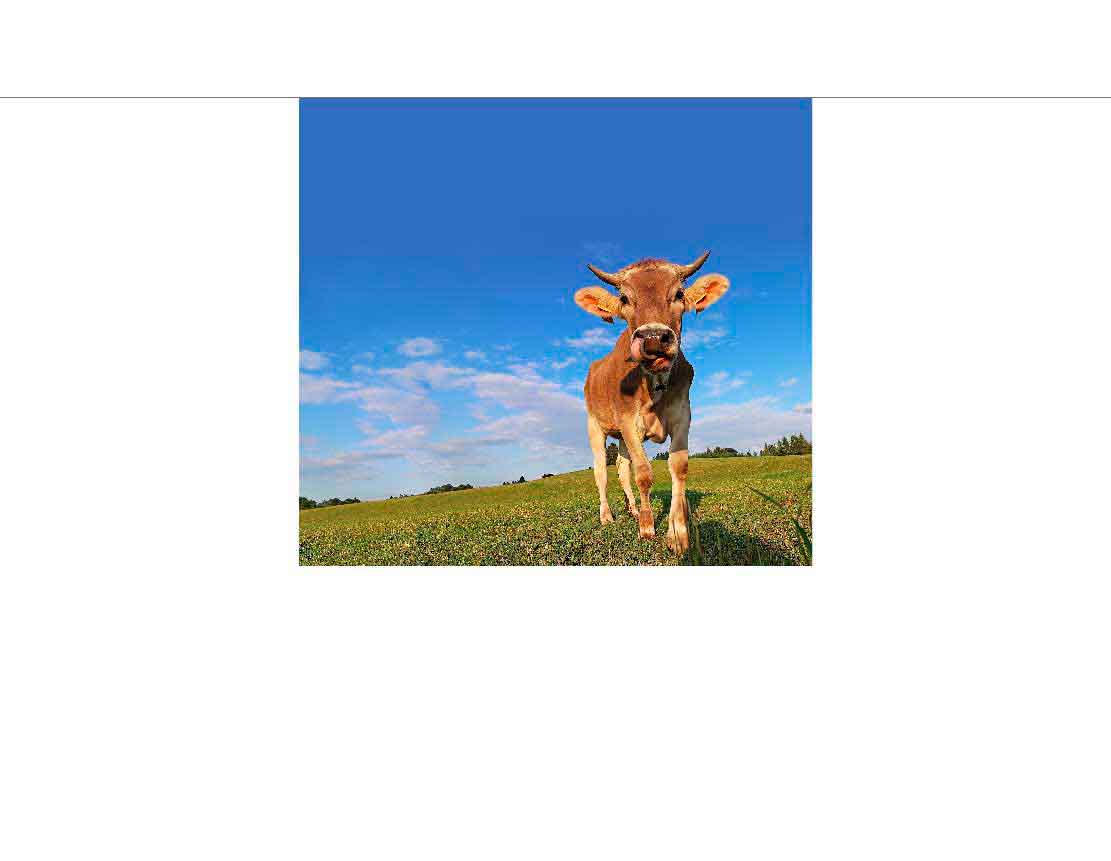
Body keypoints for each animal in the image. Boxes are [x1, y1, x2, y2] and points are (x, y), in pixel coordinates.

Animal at [574, 251, 730, 555]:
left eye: (679, 293)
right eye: (624, 299)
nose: (654, 338)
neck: (655, 383)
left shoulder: (682, 416)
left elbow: (678, 467)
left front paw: (678, 533)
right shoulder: (627, 421)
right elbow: (644, 473)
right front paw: (647, 527)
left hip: (620, 437)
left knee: (622, 468)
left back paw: (632, 509)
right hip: (594, 425)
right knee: (601, 471)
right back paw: (607, 515)